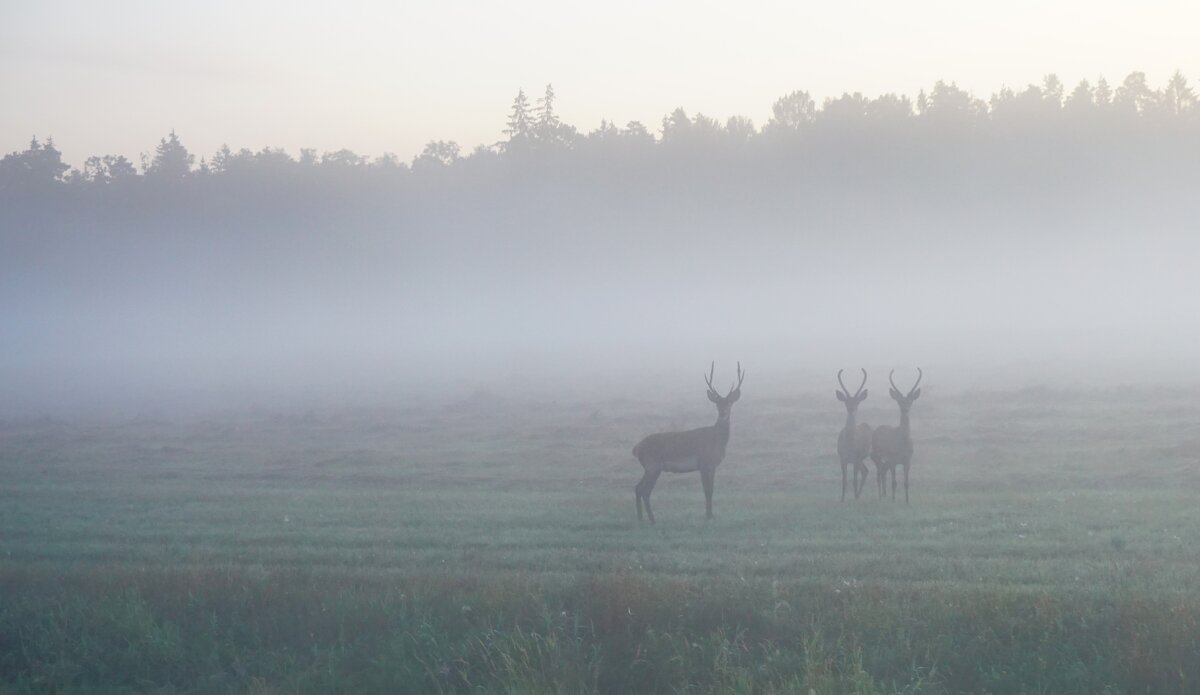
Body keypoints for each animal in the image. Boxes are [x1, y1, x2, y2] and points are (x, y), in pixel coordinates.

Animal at [633, 364, 744, 523]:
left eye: (729, 403)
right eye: (717, 404)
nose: (723, 413)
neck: (717, 441)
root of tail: (636, 448)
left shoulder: (712, 466)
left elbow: (711, 489)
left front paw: (711, 515)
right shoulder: (704, 463)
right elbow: (707, 490)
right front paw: (708, 516)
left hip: (650, 467)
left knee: (638, 488)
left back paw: (641, 519)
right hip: (652, 465)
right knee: (643, 490)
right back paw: (652, 520)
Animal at [835, 367, 873, 504]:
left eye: (857, 402)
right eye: (846, 402)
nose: (851, 409)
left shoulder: (856, 458)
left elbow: (854, 480)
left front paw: (855, 498)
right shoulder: (842, 458)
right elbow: (844, 480)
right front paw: (841, 500)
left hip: (864, 456)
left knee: (866, 471)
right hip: (860, 460)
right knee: (865, 471)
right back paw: (858, 495)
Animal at [868, 369, 921, 506]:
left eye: (910, 401)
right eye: (899, 401)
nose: (904, 409)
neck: (902, 443)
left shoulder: (908, 461)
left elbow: (906, 483)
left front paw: (907, 501)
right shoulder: (892, 460)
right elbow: (894, 482)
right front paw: (893, 500)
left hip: (884, 460)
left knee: (883, 472)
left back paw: (884, 495)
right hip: (877, 455)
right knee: (879, 474)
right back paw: (880, 496)